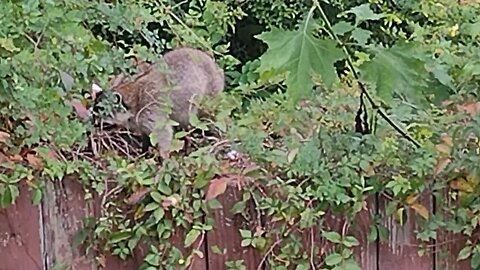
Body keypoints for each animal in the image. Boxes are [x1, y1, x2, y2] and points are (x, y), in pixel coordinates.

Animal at [94, 47, 225, 157]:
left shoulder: (151, 108)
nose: (94, 135)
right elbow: (145, 135)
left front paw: (164, 158)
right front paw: (144, 152)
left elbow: (164, 134)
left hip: (210, 94)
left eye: (104, 125)